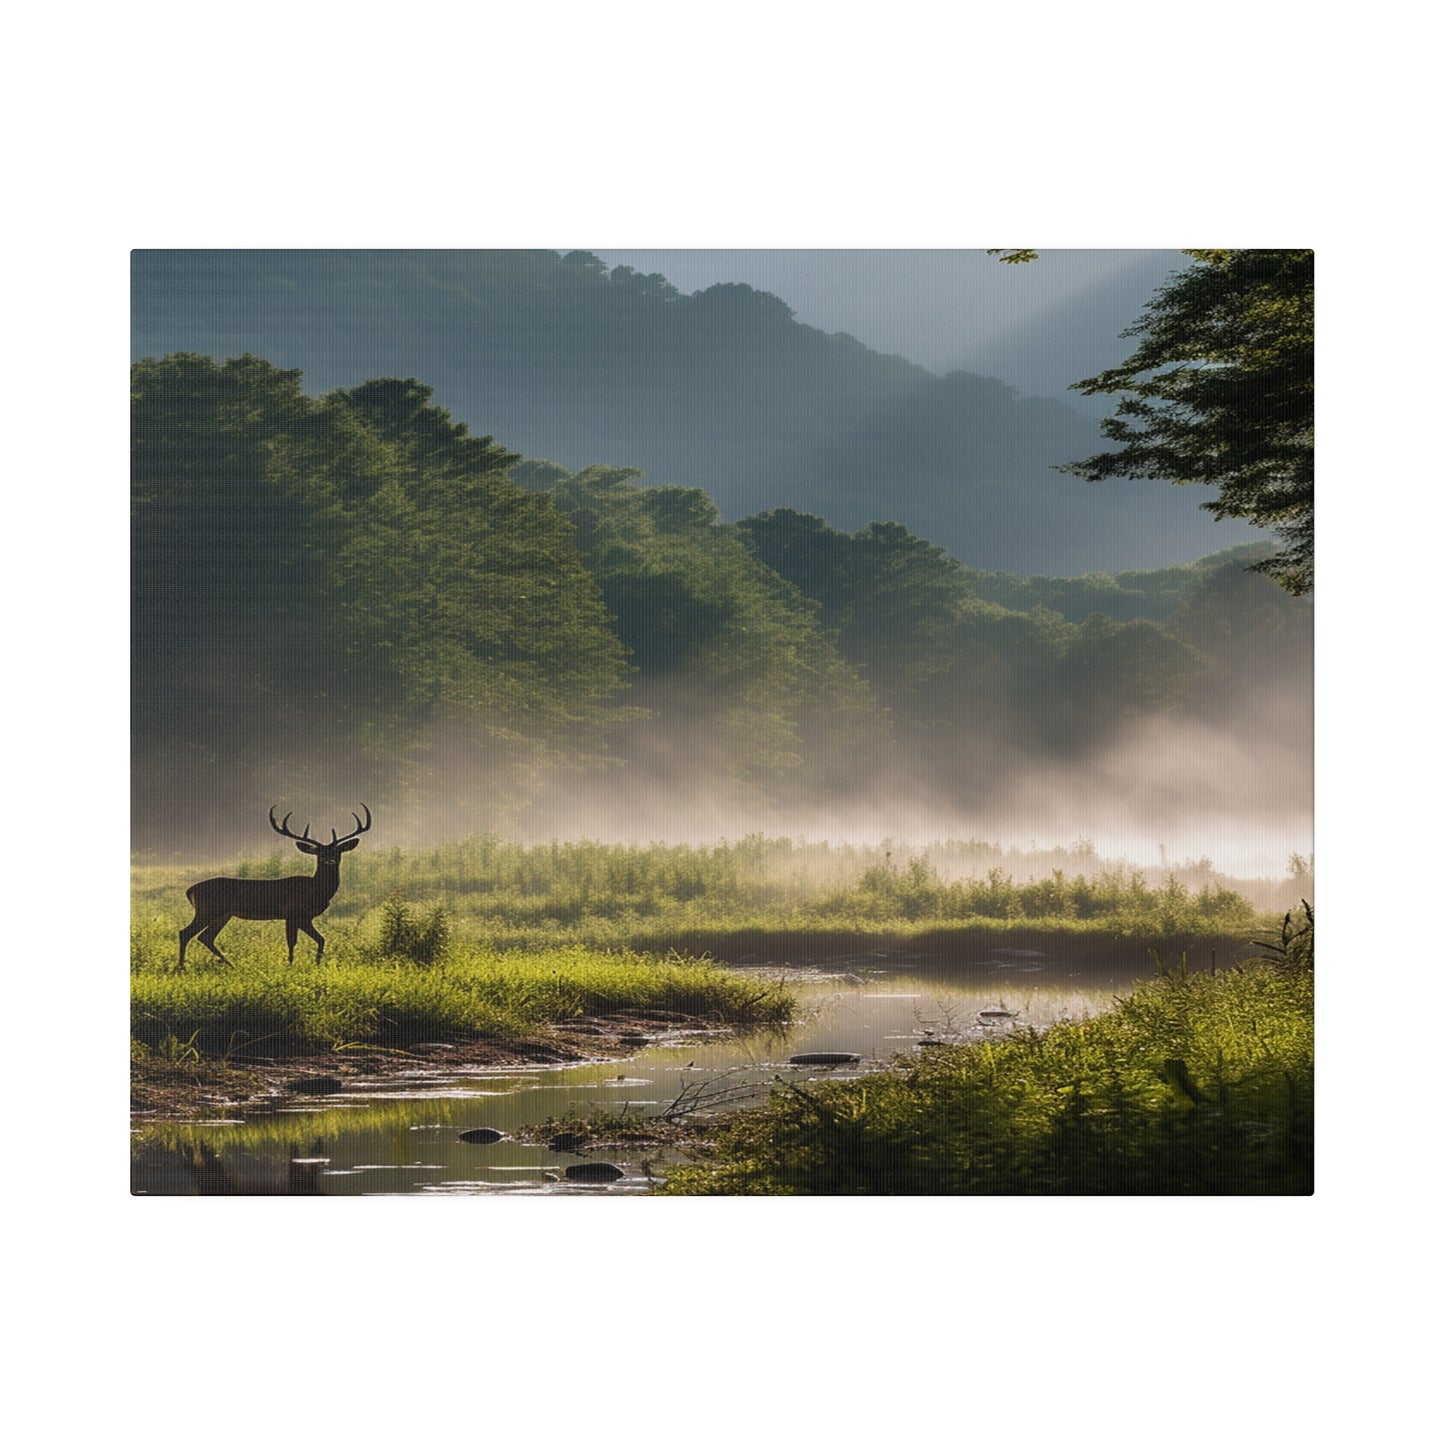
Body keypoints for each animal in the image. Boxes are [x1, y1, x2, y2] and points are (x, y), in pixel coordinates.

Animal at [177, 809, 369, 965]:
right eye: (319, 853)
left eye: (337, 852)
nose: (329, 862)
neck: (316, 891)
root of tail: (190, 890)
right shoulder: (293, 912)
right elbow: (292, 942)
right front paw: (290, 966)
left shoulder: (306, 917)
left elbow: (321, 939)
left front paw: (317, 964)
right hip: (207, 910)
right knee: (185, 933)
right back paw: (181, 968)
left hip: (223, 914)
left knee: (206, 937)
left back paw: (230, 965)